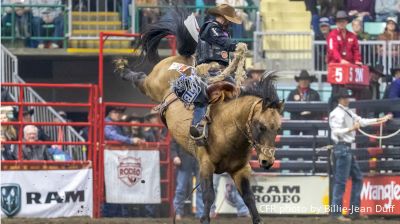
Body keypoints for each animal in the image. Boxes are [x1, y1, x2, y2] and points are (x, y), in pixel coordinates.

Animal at [115, 7, 284, 224]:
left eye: (277, 128)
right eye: (261, 126)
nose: (267, 161)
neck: (229, 127)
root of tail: (182, 59)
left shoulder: (240, 169)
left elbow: (248, 197)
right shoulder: (205, 164)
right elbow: (208, 196)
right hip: (151, 85)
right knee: (140, 77)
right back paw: (122, 67)